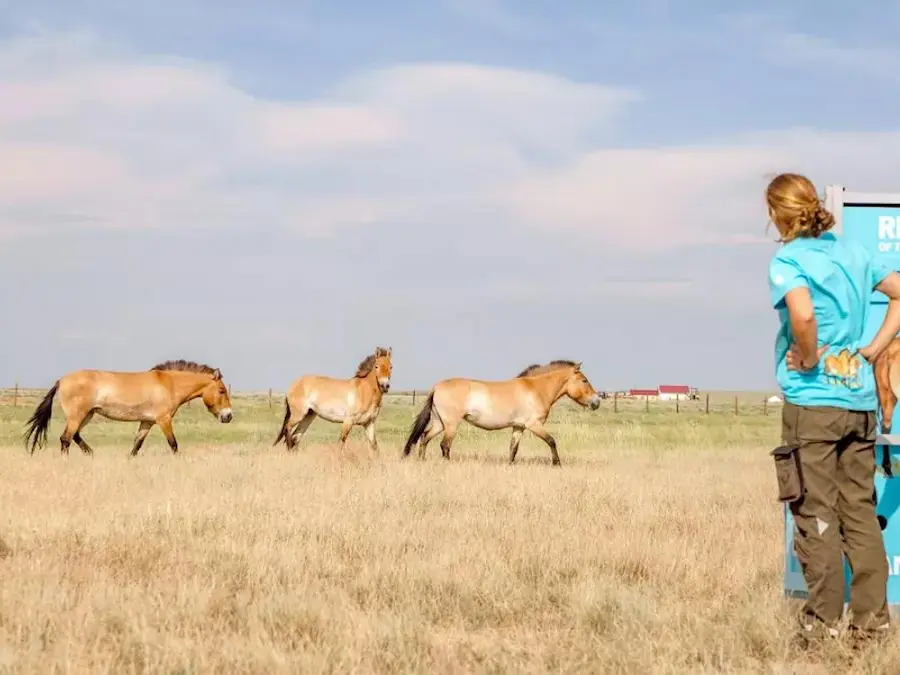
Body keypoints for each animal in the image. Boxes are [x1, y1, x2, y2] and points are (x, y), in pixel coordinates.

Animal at [23, 360, 234, 460]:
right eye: (222, 390)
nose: (228, 416)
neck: (169, 384)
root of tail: (62, 380)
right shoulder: (163, 420)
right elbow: (173, 444)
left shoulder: (147, 421)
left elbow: (136, 445)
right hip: (78, 415)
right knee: (65, 438)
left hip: (87, 415)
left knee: (74, 436)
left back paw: (91, 454)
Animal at [402, 362, 600, 468]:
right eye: (584, 380)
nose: (596, 402)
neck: (536, 389)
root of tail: (436, 387)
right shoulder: (533, 425)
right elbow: (551, 441)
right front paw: (557, 464)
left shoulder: (518, 427)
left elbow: (513, 449)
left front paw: (510, 466)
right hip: (450, 425)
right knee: (445, 445)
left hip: (439, 423)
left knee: (425, 438)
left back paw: (422, 461)